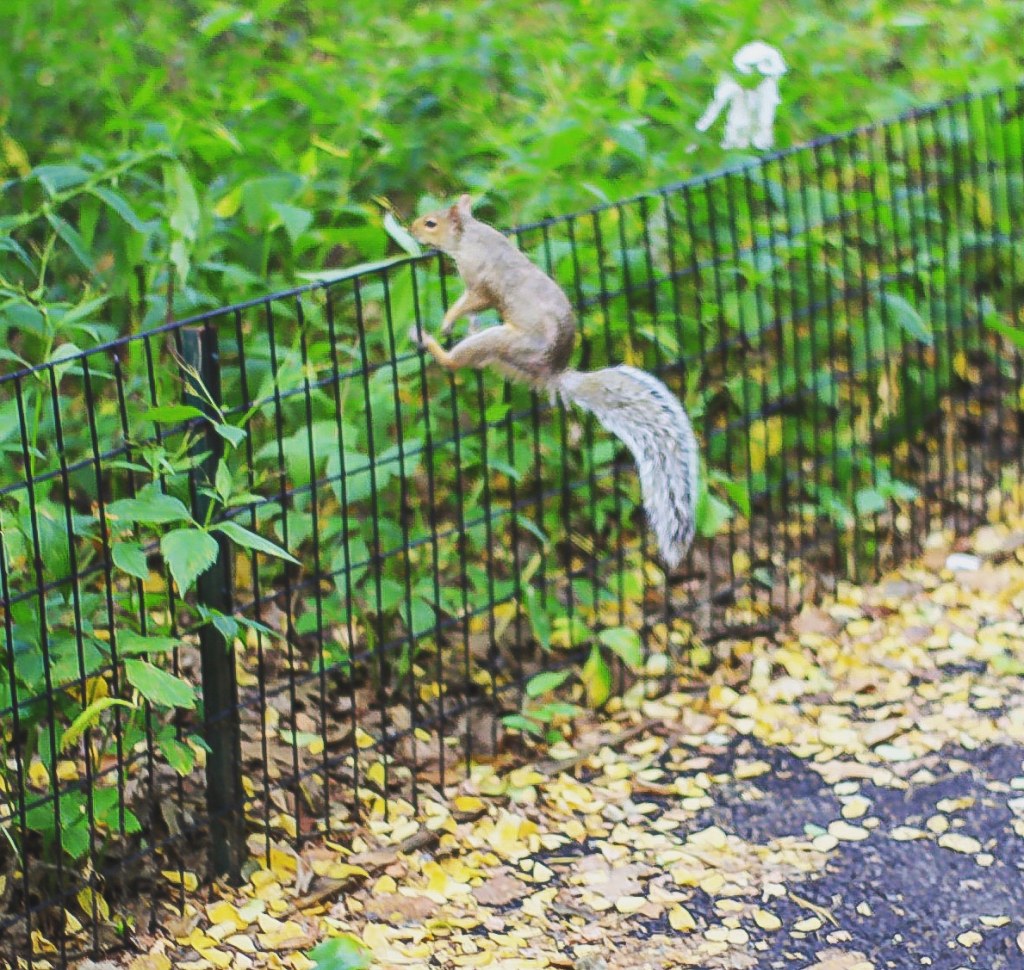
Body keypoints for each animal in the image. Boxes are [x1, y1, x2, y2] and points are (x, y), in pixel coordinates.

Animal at [408, 194, 700, 569]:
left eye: (431, 223)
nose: (411, 228)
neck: (471, 236)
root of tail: (552, 372)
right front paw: (459, 320)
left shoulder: (481, 281)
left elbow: (469, 301)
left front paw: (447, 320)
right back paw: (466, 330)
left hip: (507, 341)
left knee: (454, 362)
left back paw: (429, 340)